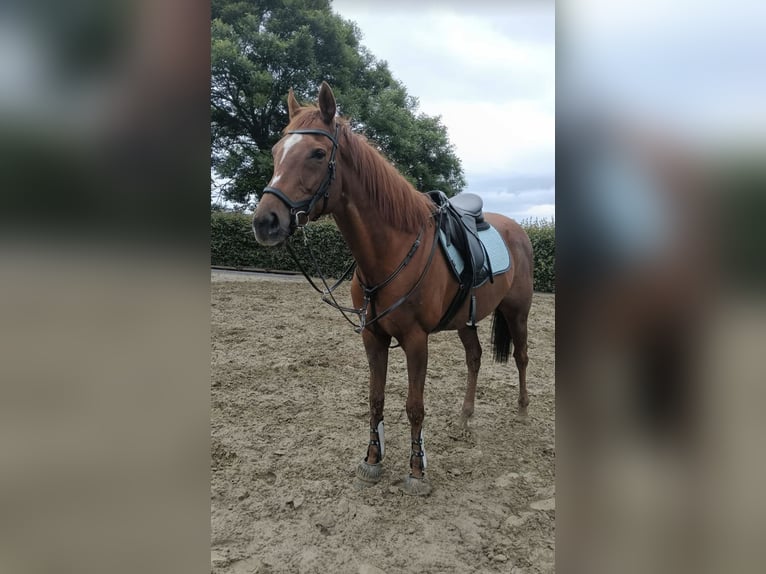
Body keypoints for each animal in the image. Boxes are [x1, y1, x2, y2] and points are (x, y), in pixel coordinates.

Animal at [252, 82, 534, 496]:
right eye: (275, 152)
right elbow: (376, 398)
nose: (265, 221)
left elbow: (414, 406)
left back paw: (523, 411)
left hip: (517, 312)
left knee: (521, 357)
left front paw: (417, 471)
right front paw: (372, 460)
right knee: (475, 358)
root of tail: (517, 229)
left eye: (318, 153)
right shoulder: (373, 336)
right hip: (466, 320)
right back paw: (465, 418)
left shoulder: (416, 339)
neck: (393, 250)